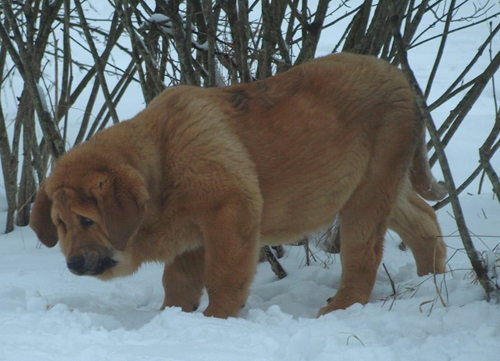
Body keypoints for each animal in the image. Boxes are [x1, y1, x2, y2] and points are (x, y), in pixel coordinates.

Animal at [30, 53, 446, 318]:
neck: (161, 163)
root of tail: (401, 80)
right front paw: (170, 318)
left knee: (363, 256)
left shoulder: (230, 210)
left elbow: (223, 277)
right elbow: (177, 281)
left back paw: (341, 307)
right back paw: (433, 280)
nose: (73, 263)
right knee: (424, 220)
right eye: (61, 224)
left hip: (368, 193)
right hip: (379, 185)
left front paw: (215, 319)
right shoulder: (193, 234)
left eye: (87, 220)